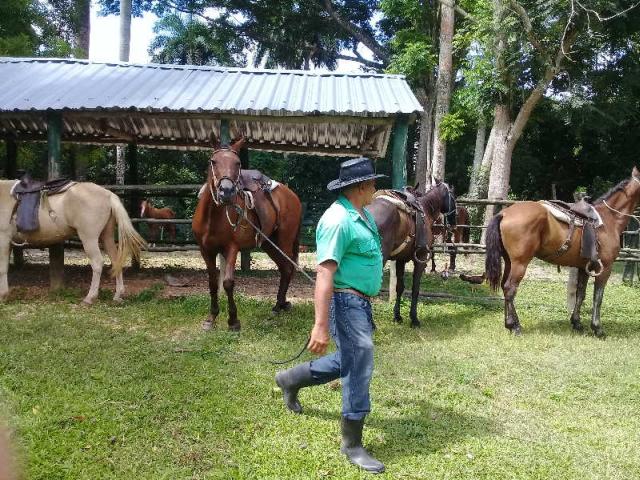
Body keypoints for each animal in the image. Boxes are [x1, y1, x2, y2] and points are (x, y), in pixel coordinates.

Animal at [0, 180, 146, 304]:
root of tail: (108, 194)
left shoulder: (3, 240)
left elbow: (2, 268)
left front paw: (3, 295)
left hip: (89, 238)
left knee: (97, 263)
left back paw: (89, 298)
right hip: (107, 237)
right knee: (116, 262)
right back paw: (117, 295)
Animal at [190, 138, 302, 330]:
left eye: (237, 163)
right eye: (213, 161)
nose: (226, 192)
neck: (212, 217)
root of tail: (293, 196)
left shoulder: (231, 248)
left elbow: (228, 282)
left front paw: (233, 321)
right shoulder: (206, 250)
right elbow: (212, 283)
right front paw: (211, 318)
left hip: (284, 241)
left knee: (287, 268)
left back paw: (279, 305)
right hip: (269, 244)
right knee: (283, 268)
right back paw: (278, 306)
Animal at [364, 182, 456, 328]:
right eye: (453, 198)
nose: (454, 224)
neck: (426, 210)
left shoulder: (400, 260)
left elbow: (400, 288)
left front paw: (397, 316)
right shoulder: (421, 258)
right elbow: (415, 288)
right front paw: (414, 319)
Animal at [484, 168, 640, 338]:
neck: (609, 219)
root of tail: (504, 214)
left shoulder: (584, 267)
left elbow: (580, 294)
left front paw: (577, 323)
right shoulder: (605, 268)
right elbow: (597, 297)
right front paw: (597, 328)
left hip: (509, 262)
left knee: (504, 287)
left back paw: (509, 324)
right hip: (520, 263)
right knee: (510, 289)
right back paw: (515, 326)